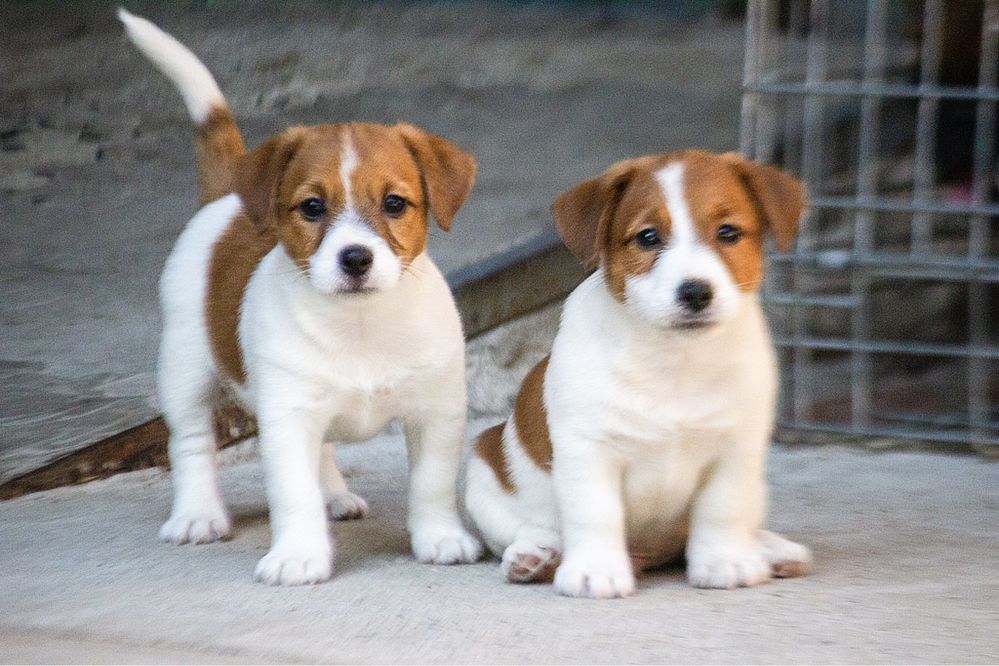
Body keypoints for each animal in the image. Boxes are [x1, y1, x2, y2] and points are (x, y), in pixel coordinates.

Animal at [120, 9, 480, 580]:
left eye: (395, 203)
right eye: (312, 207)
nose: (355, 258)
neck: (360, 324)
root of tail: (226, 193)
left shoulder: (436, 411)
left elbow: (432, 485)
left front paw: (440, 537)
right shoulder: (286, 419)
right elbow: (293, 494)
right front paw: (298, 555)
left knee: (325, 450)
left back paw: (334, 495)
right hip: (185, 367)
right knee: (192, 442)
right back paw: (198, 515)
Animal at [464, 150, 816, 596]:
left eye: (728, 232)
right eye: (648, 237)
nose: (695, 292)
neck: (673, 359)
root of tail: (649, 555)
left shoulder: (736, 448)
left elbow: (723, 509)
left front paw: (726, 561)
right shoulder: (588, 449)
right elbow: (595, 514)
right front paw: (595, 570)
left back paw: (770, 549)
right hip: (484, 468)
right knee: (528, 528)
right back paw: (537, 555)